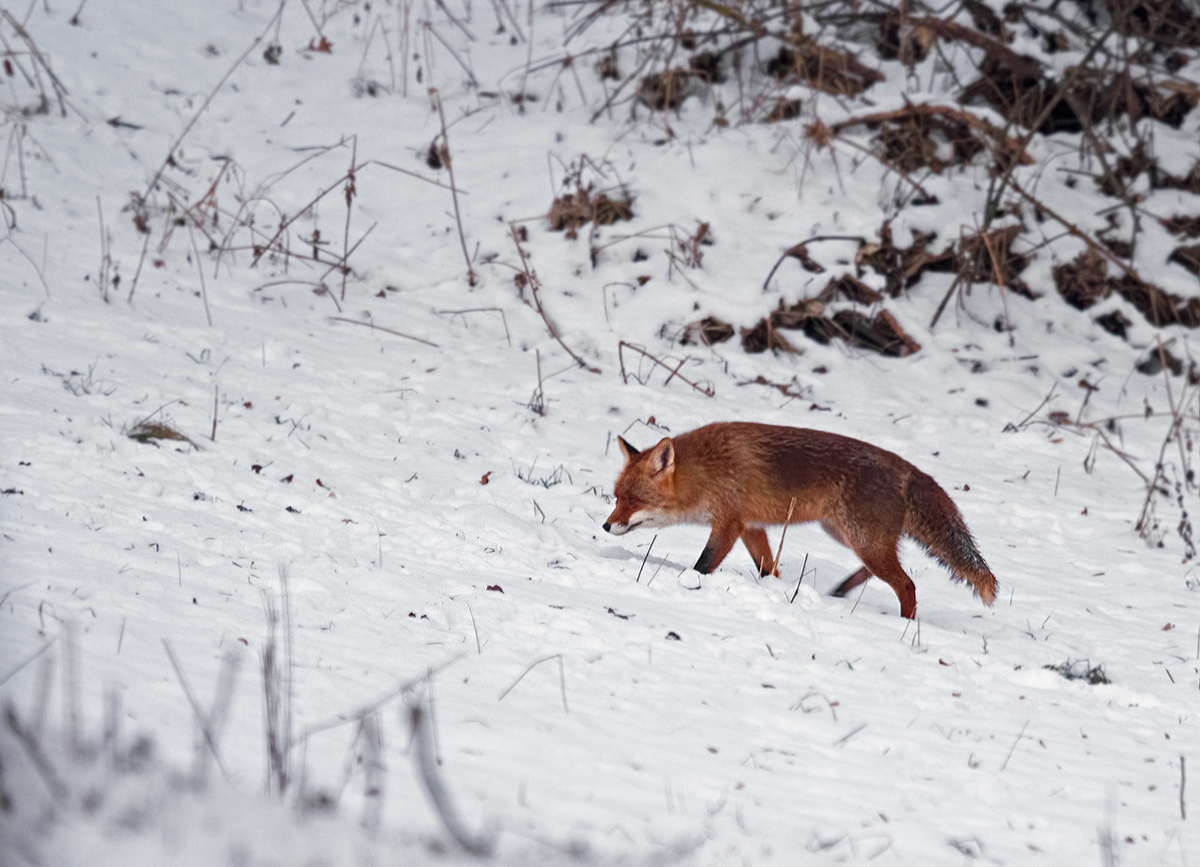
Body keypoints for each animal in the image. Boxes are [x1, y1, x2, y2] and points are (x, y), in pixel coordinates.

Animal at [604, 422, 998, 619]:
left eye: (634, 500)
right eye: (616, 497)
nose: (606, 526)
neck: (706, 469)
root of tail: (911, 469)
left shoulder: (729, 523)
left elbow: (703, 565)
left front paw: (690, 584)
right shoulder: (752, 528)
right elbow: (768, 569)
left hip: (861, 540)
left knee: (907, 585)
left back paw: (904, 626)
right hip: (849, 537)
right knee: (886, 571)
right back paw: (841, 590)